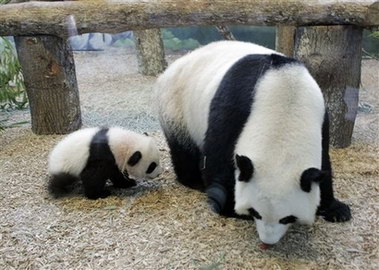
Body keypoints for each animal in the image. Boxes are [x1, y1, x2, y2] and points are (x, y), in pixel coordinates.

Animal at [156, 40, 352, 245]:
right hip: (176, 105)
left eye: (288, 218)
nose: (268, 242)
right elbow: (218, 155)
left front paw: (335, 209)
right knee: (184, 148)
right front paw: (228, 206)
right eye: (255, 212)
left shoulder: (320, 117)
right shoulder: (235, 106)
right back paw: (194, 181)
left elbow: (324, 162)